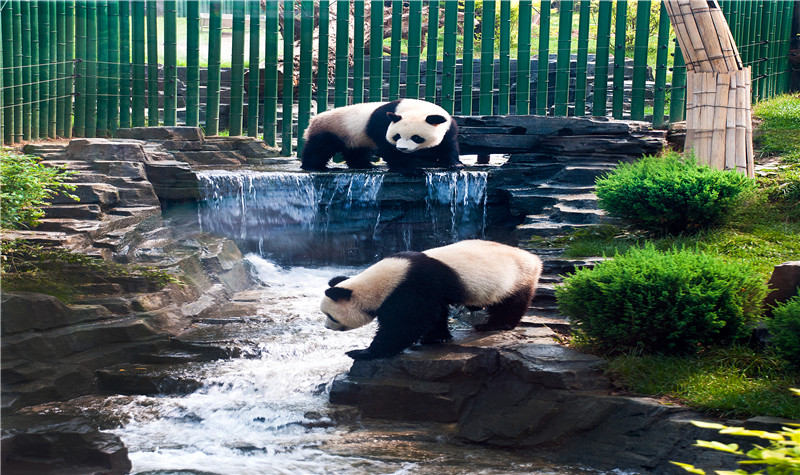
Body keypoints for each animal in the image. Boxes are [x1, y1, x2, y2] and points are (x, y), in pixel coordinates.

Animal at [300, 98, 462, 175]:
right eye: (397, 136)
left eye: (416, 137)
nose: (402, 148)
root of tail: (314, 119)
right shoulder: (383, 123)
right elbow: (388, 148)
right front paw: (410, 169)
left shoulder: (448, 126)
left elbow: (447, 145)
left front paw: (454, 164)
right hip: (331, 128)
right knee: (319, 148)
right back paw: (315, 167)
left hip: (354, 137)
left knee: (356, 151)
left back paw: (364, 165)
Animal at [320, 242, 544, 360]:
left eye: (330, 315)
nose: (327, 327)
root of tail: (535, 258)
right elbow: (435, 314)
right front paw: (435, 338)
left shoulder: (411, 287)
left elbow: (404, 325)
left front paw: (362, 352)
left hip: (516, 277)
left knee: (511, 302)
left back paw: (495, 324)